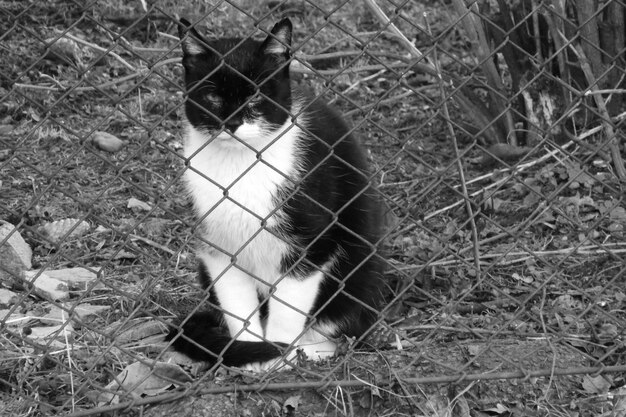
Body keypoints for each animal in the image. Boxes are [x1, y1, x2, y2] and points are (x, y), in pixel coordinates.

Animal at [166, 17, 380, 370]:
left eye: (255, 97)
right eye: (212, 97)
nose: (231, 122)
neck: (241, 165)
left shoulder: (309, 241)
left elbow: (289, 305)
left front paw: (280, 355)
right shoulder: (216, 244)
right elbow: (237, 303)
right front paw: (253, 354)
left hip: (359, 263)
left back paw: (315, 348)